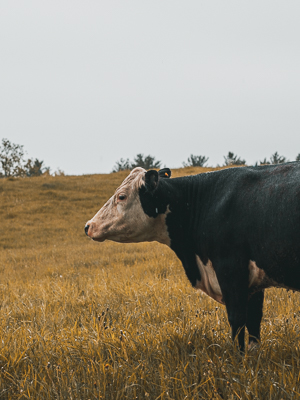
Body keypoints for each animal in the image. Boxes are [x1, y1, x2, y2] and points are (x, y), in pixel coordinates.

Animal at [83, 164, 300, 352]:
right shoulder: (253, 278)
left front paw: (238, 358)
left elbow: (237, 318)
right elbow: (254, 320)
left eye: (121, 196)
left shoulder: (230, 269)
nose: (88, 226)